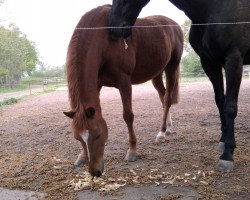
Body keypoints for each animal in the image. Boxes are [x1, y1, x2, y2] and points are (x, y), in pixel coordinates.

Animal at [63, 4, 183, 177]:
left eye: (98, 135)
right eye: (78, 138)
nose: (95, 172)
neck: (105, 38)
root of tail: (174, 25)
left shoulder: (124, 82)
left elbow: (128, 116)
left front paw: (132, 150)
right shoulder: (97, 85)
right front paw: (83, 156)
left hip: (172, 67)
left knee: (167, 99)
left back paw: (161, 132)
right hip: (156, 73)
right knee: (162, 96)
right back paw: (167, 127)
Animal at [108, 0, 250, 172]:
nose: (113, 27)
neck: (214, 8)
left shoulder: (234, 59)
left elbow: (230, 106)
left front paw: (227, 155)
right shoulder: (209, 62)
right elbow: (220, 101)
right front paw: (222, 141)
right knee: (164, 96)